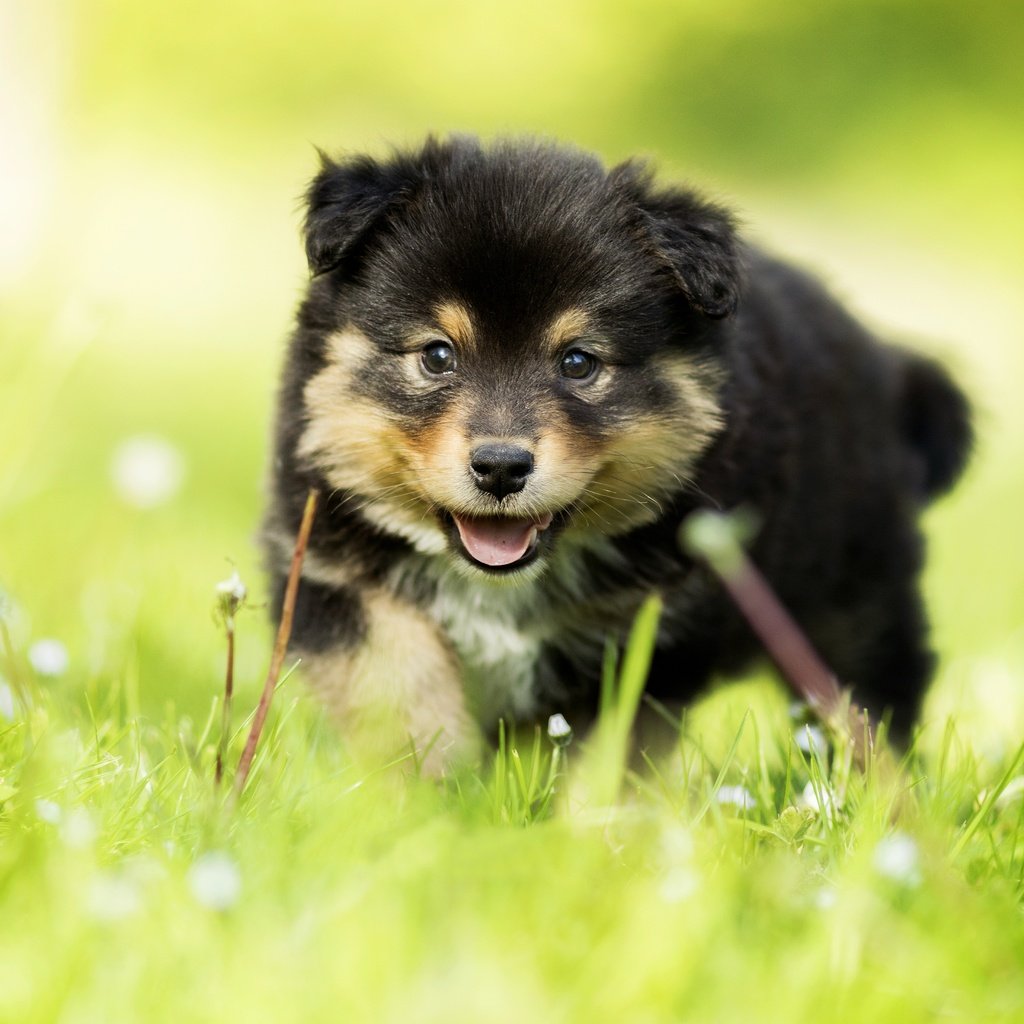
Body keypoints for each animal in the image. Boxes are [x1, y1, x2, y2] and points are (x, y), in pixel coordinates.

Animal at [260, 138, 970, 770]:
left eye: (579, 363)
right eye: (437, 355)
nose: (500, 467)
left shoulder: (654, 630)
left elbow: (607, 756)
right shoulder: (326, 565)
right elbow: (396, 683)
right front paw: (429, 793)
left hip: (854, 601)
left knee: (871, 700)